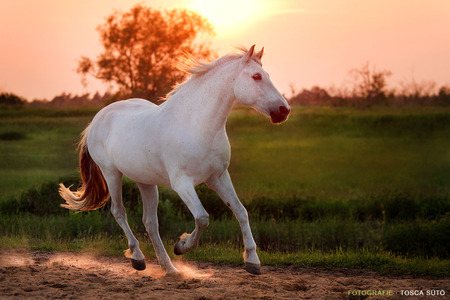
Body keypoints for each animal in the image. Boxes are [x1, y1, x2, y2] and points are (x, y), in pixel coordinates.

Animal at [59, 45, 290, 276]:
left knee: (150, 222)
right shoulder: (182, 183)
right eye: (257, 76)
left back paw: (169, 268)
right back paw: (138, 258)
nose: (284, 111)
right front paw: (182, 245)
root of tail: (96, 120)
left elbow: (241, 212)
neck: (196, 125)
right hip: (111, 174)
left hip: (145, 181)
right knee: (119, 212)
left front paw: (252, 261)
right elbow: (202, 217)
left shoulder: (218, 177)